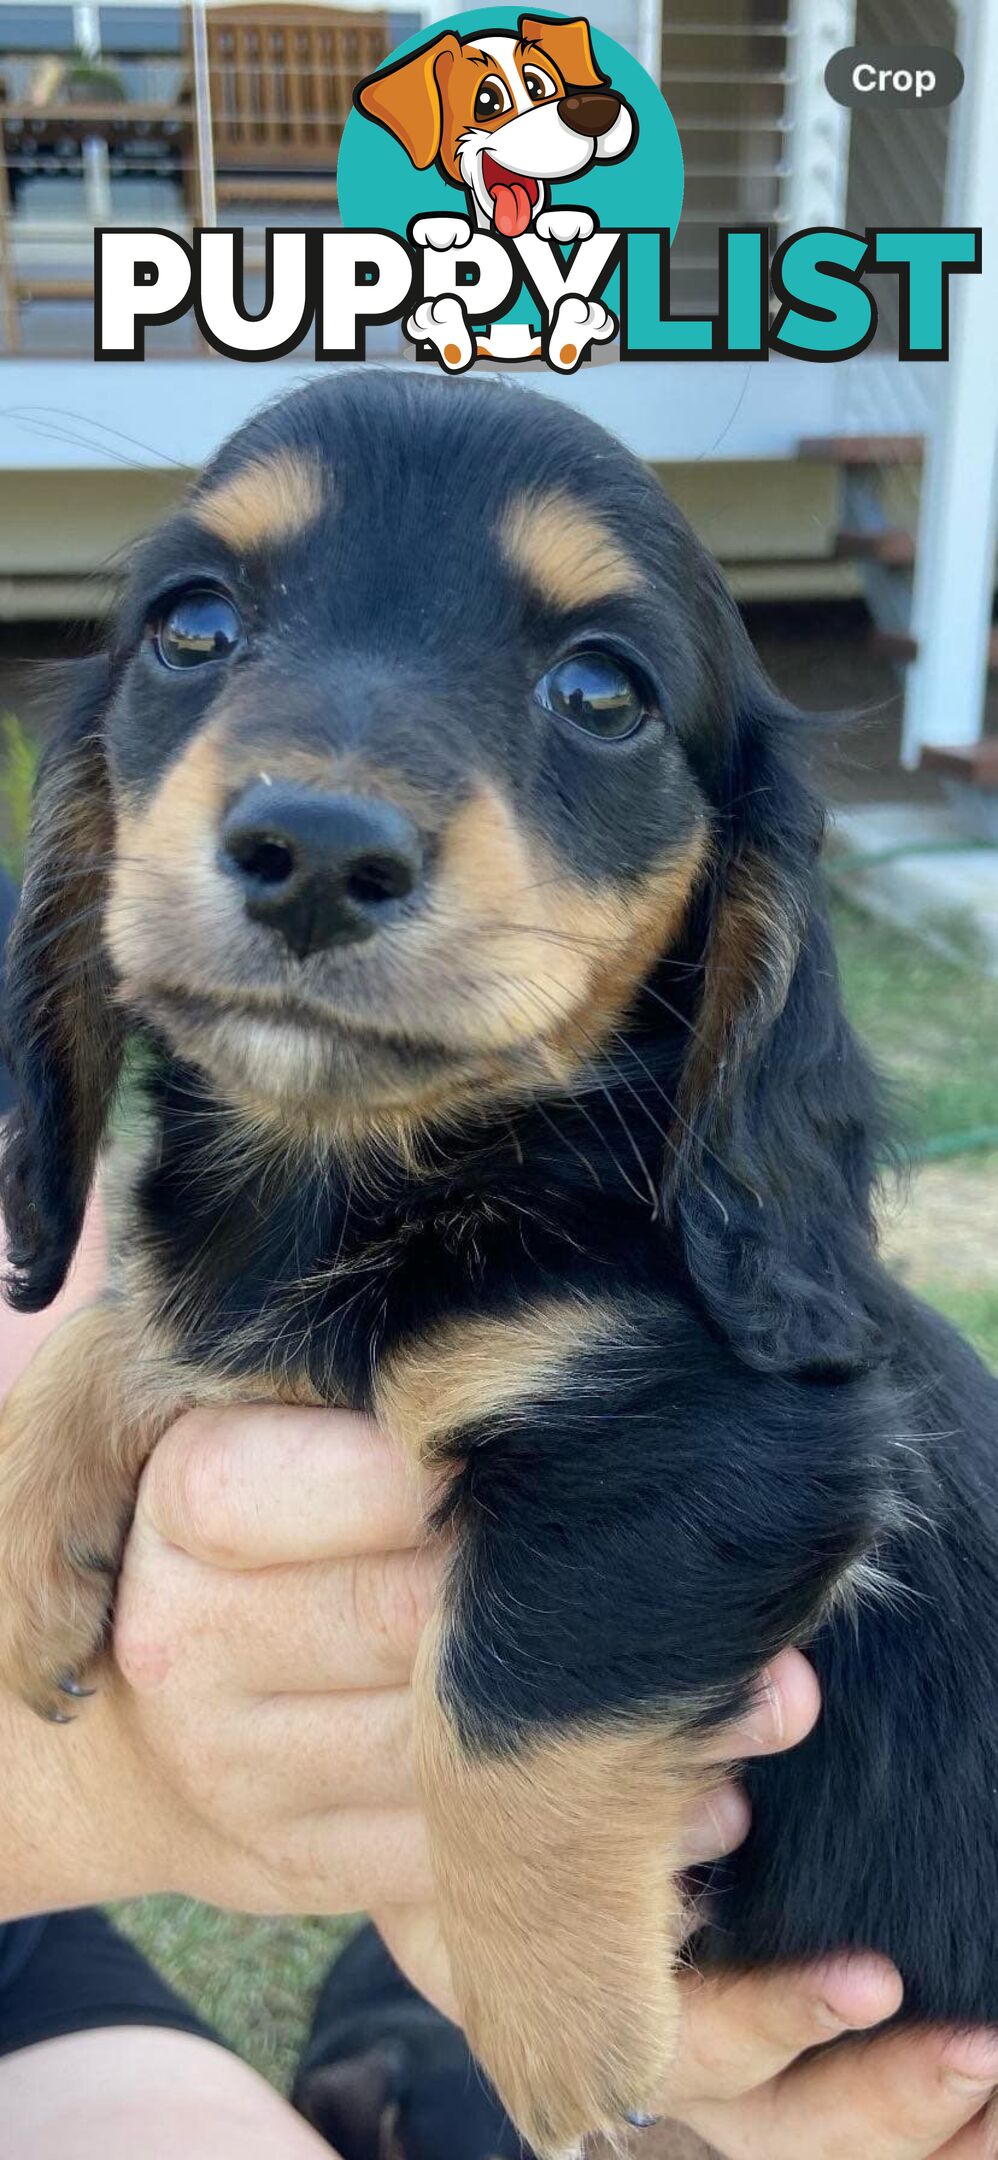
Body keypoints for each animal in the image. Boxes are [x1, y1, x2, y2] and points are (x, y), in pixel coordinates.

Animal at [1, 367, 998, 2142]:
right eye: (193, 625)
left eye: (600, 690)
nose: (316, 854)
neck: (372, 1177)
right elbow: (149, 1302)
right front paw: (35, 1538)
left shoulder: (718, 1448)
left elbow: (506, 1690)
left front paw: (557, 2034)